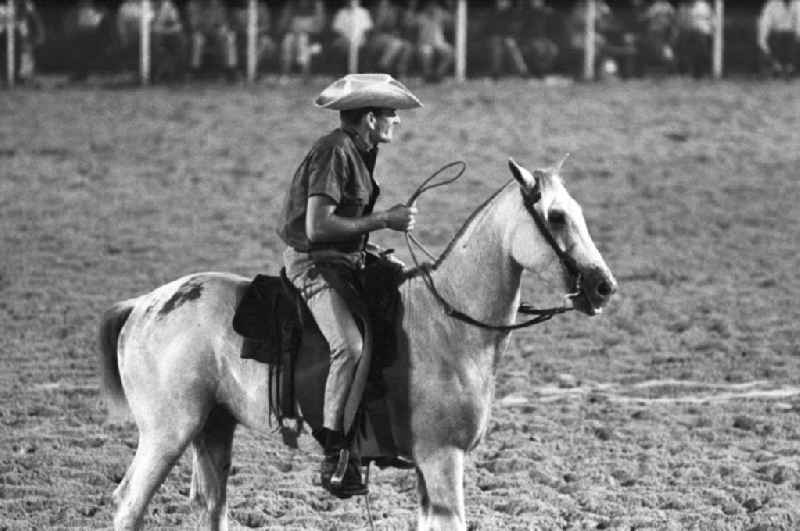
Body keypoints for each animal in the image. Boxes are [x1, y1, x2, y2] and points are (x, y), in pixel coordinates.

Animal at [100, 159, 620, 531]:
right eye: (556, 217)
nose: (603, 286)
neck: (449, 323)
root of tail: (144, 305)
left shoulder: (427, 470)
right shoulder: (442, 458)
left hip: (212, 428)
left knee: (210, 506)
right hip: (167, 432)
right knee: (128, 504)